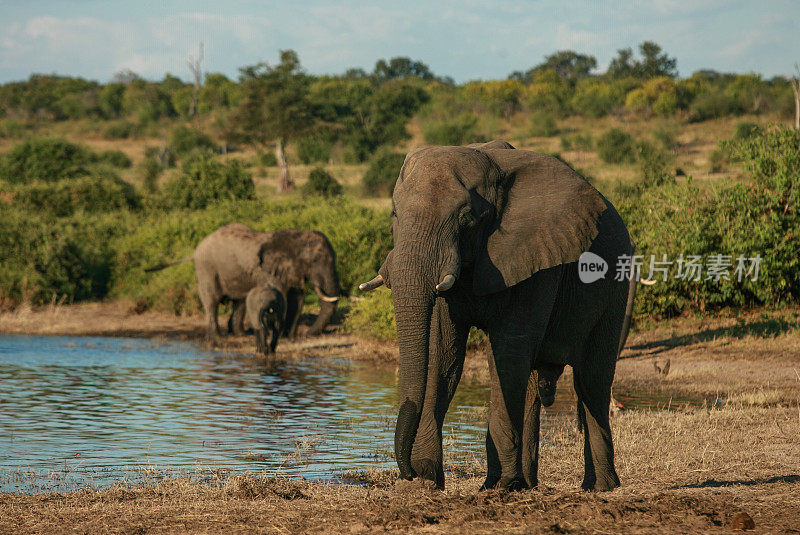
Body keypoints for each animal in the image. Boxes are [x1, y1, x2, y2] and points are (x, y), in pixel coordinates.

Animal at [147, 224, 340, 342]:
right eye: (314, 260)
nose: (306, 335)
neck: (296, 237)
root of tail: (195, 251)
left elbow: (297, 301)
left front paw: (289, 338)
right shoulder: (268, 272)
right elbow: (281, 299)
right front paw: (280, 336)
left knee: (238, 301)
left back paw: (240, 335)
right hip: (206, 268)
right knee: (211, 301)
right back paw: (218, 338)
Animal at [360, 140, 636, 492]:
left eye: (467, 217)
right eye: (394, 213)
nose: (407, 472)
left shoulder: (539, 254)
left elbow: (507, 350)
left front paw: (497, 485)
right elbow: (441, 353)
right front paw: (427, 480)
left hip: (617, 285)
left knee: (591, 380)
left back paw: (598, 487)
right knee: (532, 385)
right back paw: (527, 484)